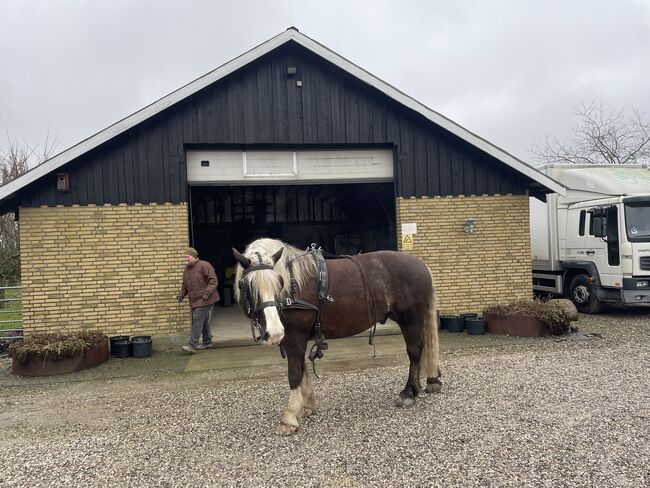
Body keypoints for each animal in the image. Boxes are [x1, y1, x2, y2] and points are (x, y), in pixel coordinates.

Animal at [233, 238, 440, 432]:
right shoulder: (296, 337)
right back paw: (424, 384)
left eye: (279, 282)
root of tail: (421, 265)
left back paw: (408, 392)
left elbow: (294, 373)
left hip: (409, 319)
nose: (274, 333)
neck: (293, 285)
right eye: (247, 286)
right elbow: (302, 369)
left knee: (414, 351)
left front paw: (290, 417)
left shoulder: (295, 336)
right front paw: (306, 406)